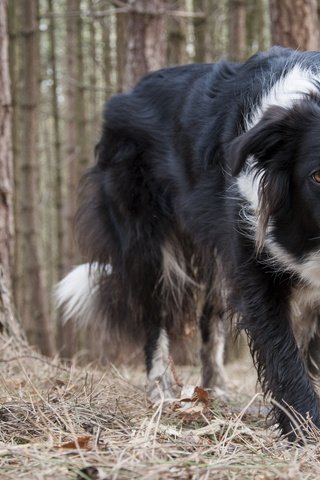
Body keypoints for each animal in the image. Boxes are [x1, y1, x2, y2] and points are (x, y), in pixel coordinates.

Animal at [55, 47, 320, 440]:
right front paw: (306, 429)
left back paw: (215, 390)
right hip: (145, 239)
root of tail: (124, 95)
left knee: (211, 317)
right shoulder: (253, 255)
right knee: (155, 316)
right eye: (318, 176)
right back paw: (161, 392)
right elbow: (281, 350)